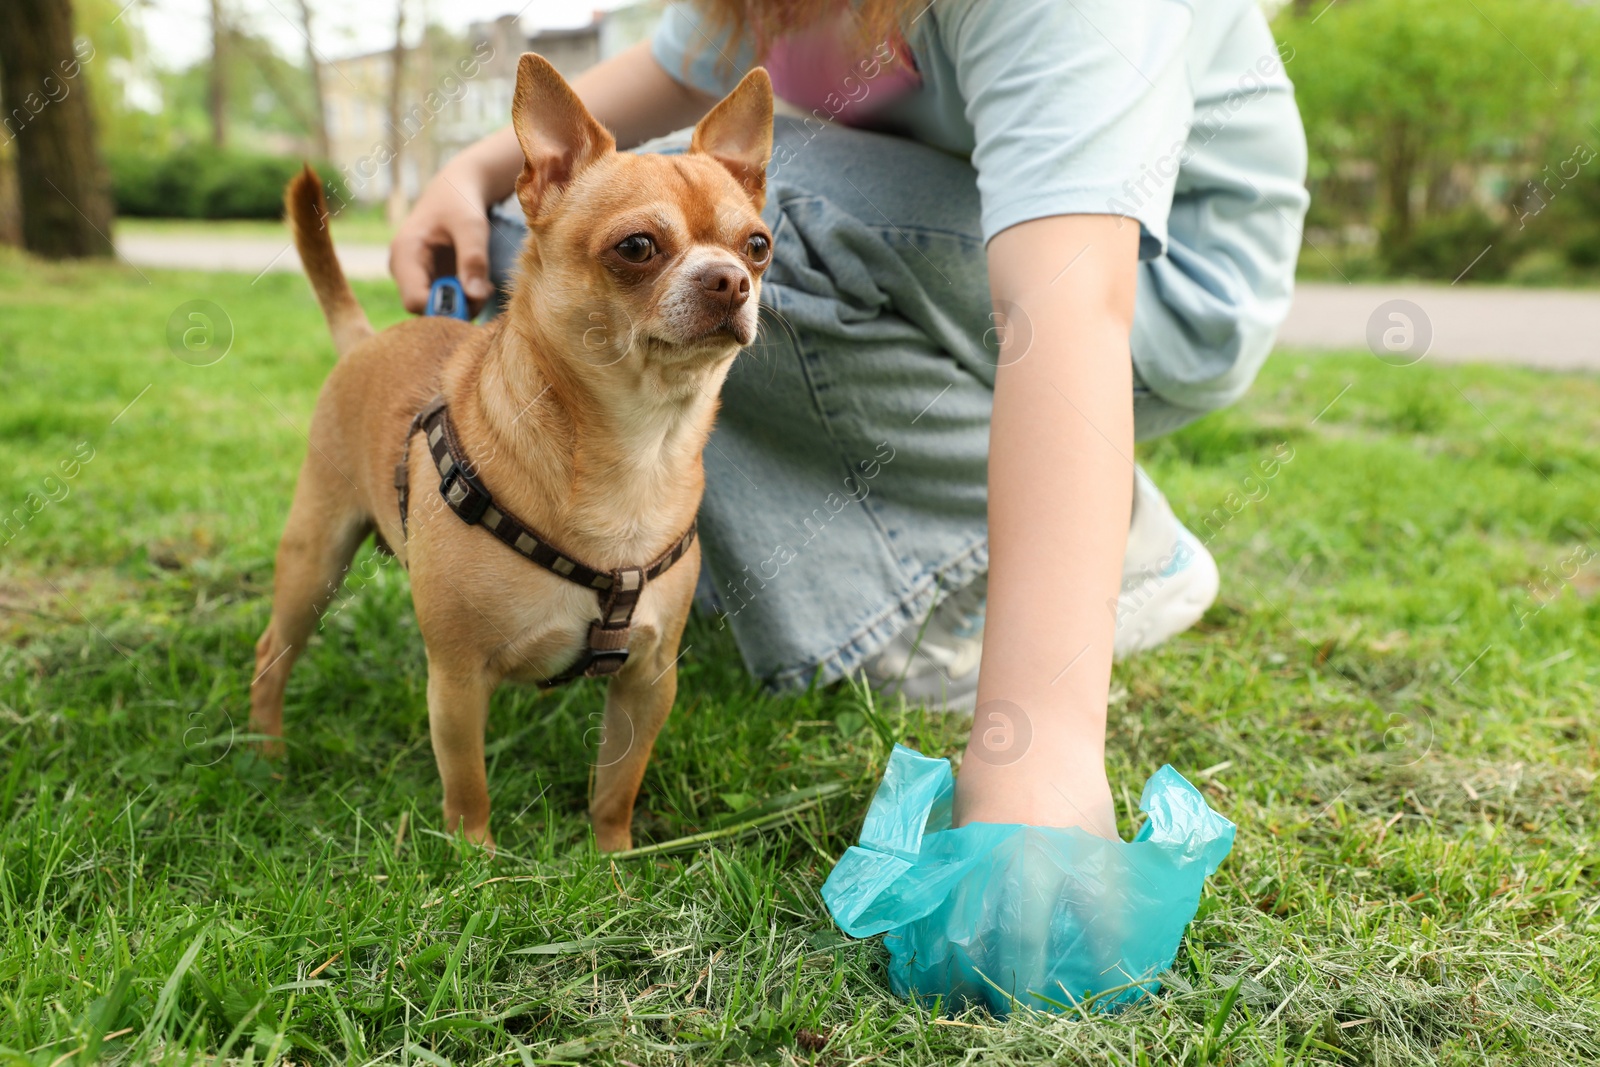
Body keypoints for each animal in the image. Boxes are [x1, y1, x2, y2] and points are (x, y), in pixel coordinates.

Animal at [249, 56, 774, 851]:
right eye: (637, 247)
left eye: (758, 246)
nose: (731, 279)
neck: (638, 446)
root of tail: (368, 337)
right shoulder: (458, 680)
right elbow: (467, 785)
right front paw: (478, 860)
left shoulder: (648, 680)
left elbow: (616, 784)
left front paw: (613, 859)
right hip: (314, 562)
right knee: (270, 657)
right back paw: (268, 759)